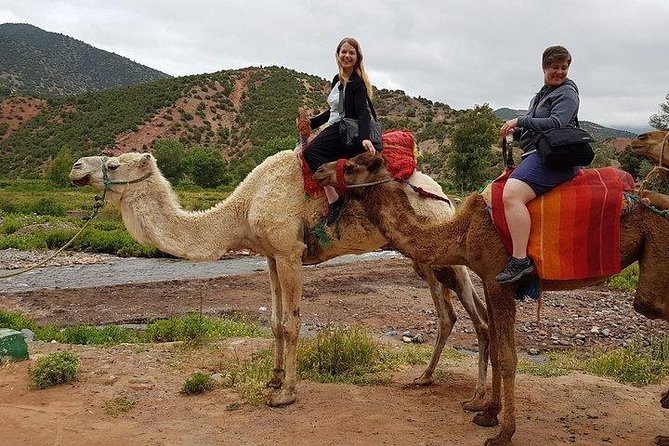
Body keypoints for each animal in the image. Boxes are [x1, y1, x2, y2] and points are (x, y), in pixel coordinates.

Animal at [68, 149, 489, 409]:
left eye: (114, 165)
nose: (75, 168)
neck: (243, 207)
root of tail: (442, 193)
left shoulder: (290, 251)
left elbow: (291, 323)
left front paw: (286, 393)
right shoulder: (270, 254)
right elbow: (273, 321)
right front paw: (272, 379)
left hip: (440, 243)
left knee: (476, 314)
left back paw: (478, 397)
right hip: (423, 259)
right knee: (451, 314)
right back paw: (426, 378)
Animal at [313, 152, 669, 446]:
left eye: (354, 165)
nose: (318, 170)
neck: (462, 230)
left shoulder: (500, 278)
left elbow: (507, 355)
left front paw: (504, 432)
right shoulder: (487, 278)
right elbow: (495, 343)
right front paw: (487, 413)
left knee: (651, 305)